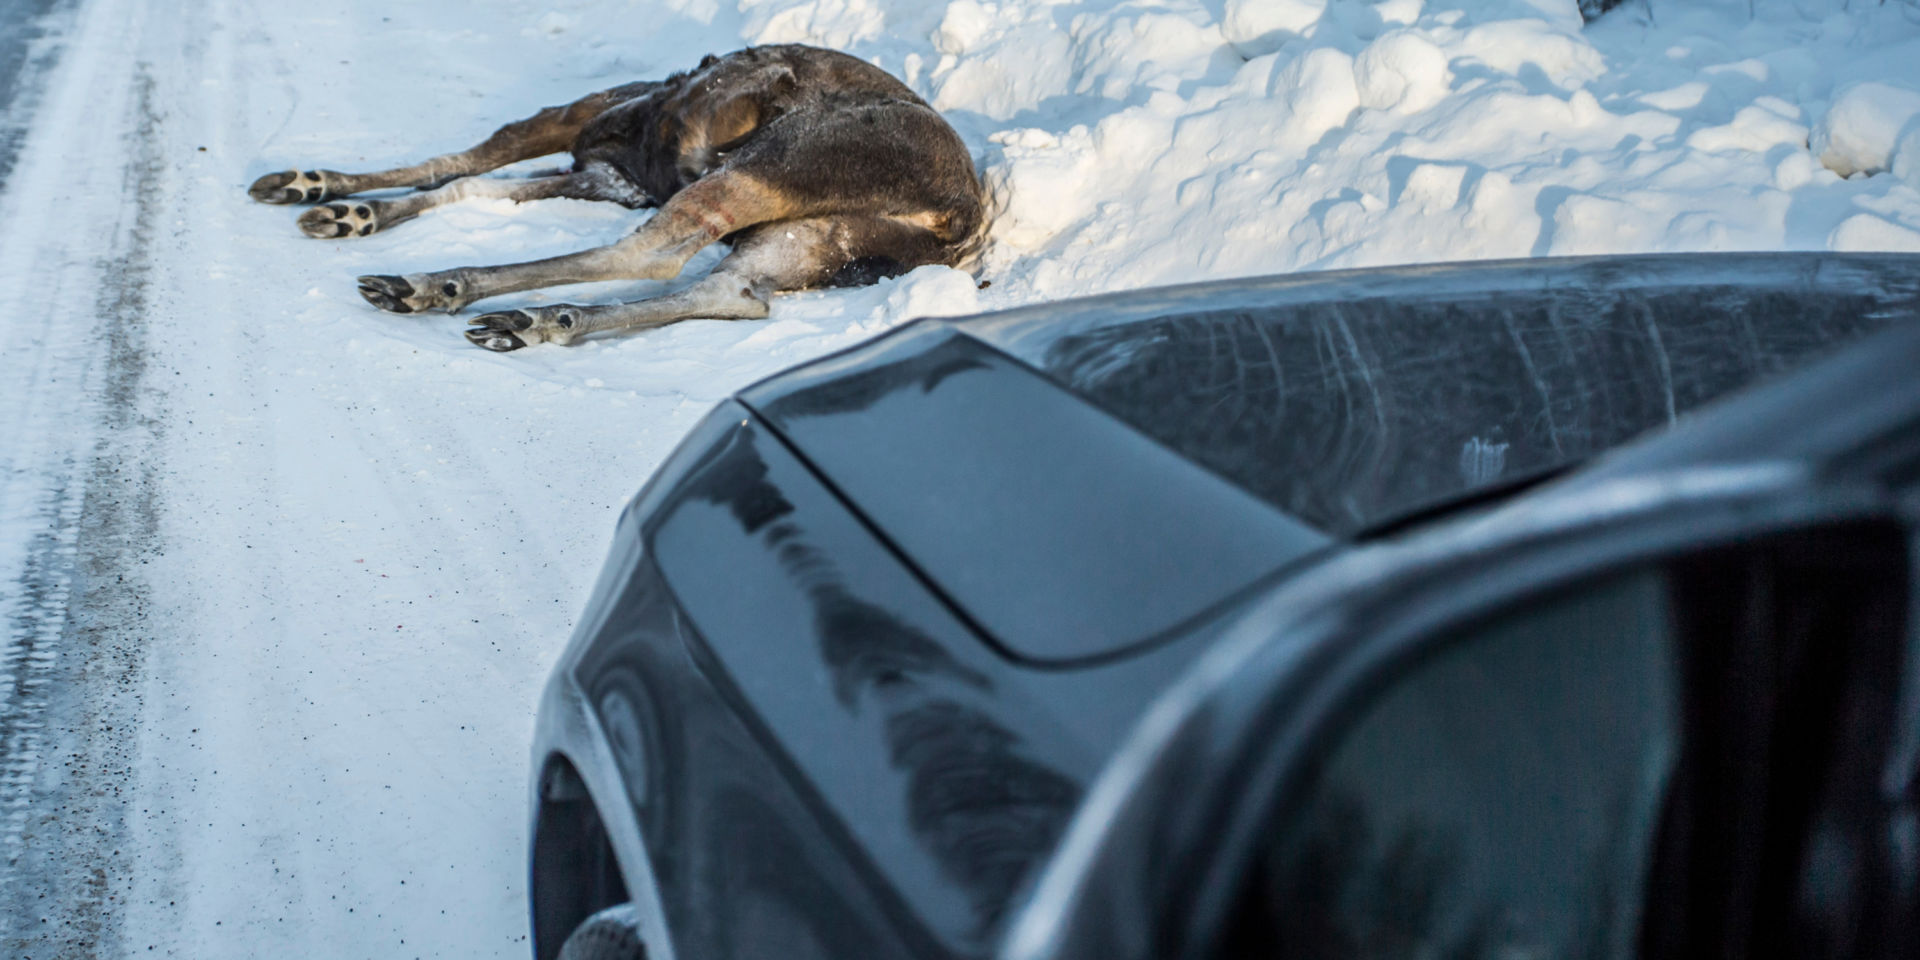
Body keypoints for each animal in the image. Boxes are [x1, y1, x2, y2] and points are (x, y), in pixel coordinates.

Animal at [251, 45, 990, 353]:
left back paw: (450, 286)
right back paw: (540, 319)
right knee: (731, 293)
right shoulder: (607, 176)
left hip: (772, 163)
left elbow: (463, 162)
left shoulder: (583, 122)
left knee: (652, 255)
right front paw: (342, 203)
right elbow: (468, 182)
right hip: (815, 239)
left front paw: (328, 191)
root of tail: (957, 223)